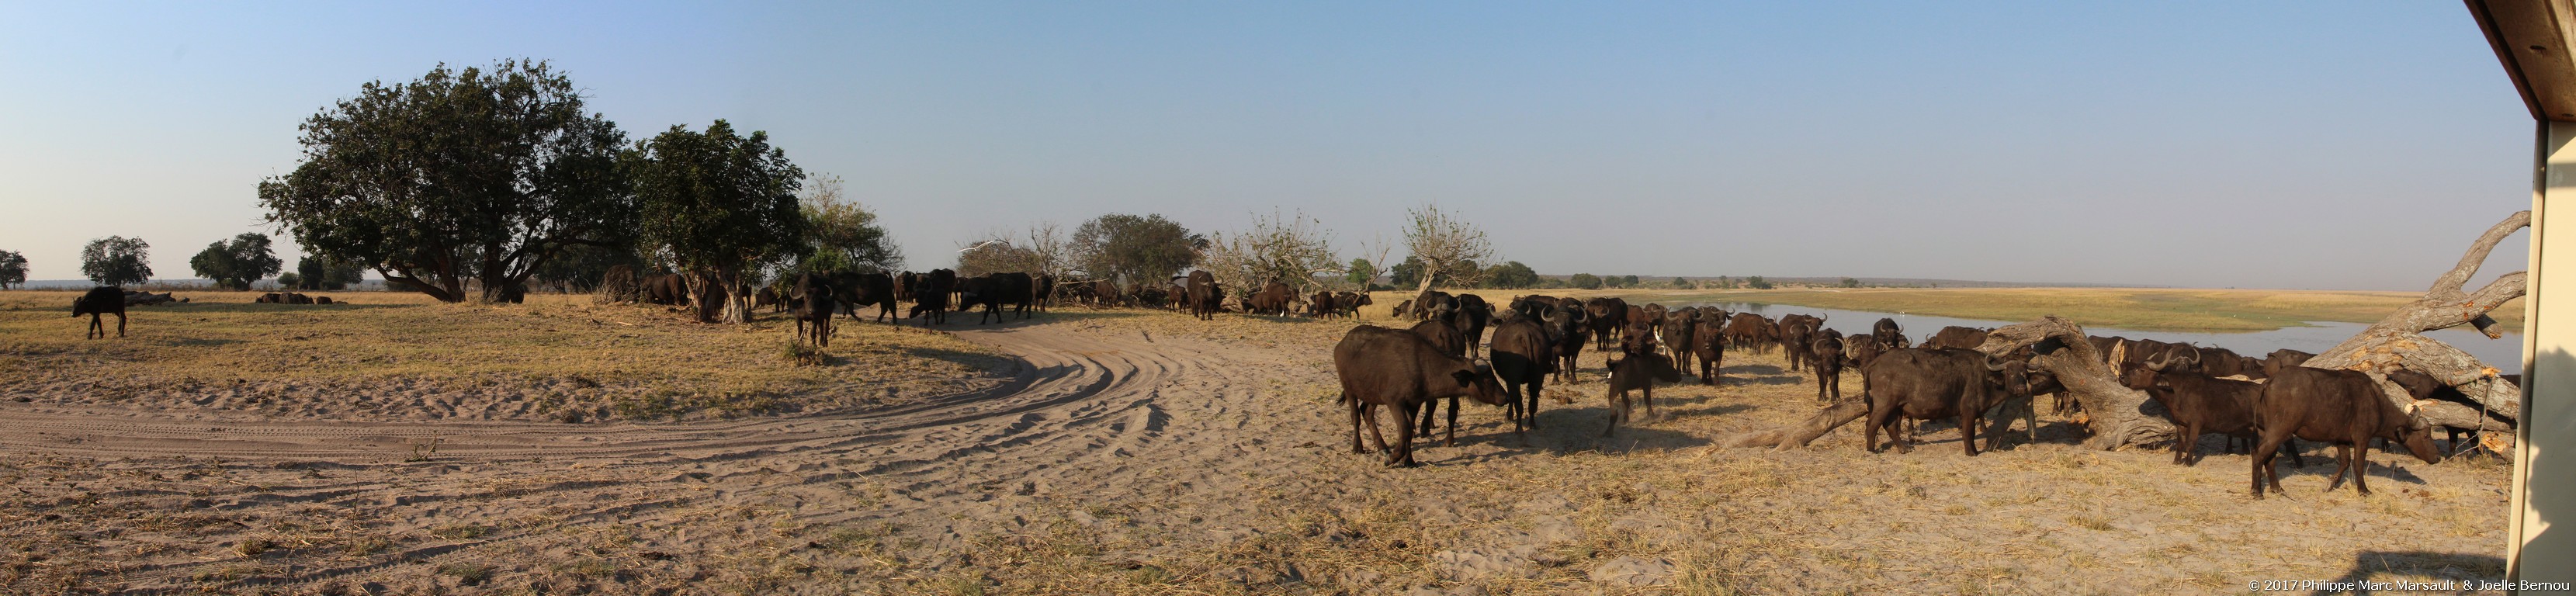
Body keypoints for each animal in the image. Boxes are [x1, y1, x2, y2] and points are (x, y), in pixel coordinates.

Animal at [1329, 324, 1504, 466]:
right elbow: (1406, 429)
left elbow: (1409, 433)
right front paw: (1393, 458)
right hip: (1350, 390)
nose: (1506, 397)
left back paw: (1382, 447)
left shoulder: (1414, 404)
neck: (1422, 367)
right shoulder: (1395, 402)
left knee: (1366, 412)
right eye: (1489, 380)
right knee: (1355, 417)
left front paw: (1409, 461)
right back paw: (1358, 447)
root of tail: (1341, 344)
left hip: (1371, 394)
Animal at [1875, 345, 2030, 456]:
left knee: (1890, 426)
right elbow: (1968, 432)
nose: (2021, 388)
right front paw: (1971, 453)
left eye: (2024, 374)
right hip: (1885, 406)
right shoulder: (1968, 412)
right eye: (2009, 373)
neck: (1985, 376)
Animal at [2256, 369, 2432, 497]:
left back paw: (2276, 488)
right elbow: (2358, 464)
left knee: (2269, 458)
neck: (2375, 401)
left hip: (2269, 431)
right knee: (2259, 453)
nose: (2436, 457)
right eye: (2426, 436)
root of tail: (2269, 382)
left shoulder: (2341, 440)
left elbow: (2345, 462)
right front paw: (2363, 490)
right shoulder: (2362, 439)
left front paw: (2330, 483)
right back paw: (2257, 491)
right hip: (2280, 430)